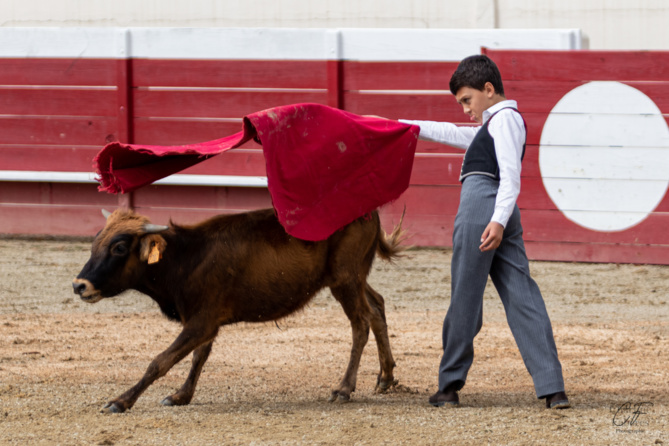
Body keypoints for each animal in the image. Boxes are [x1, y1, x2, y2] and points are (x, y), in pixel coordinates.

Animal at [73, 207, 402, 412]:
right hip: (353, 279)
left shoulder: (202, 322)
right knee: (377, 307)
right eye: (95, 243)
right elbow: (198, 356)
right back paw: (385, 377)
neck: (185, 258)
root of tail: (369, 210)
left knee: (360, 322)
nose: (79, 285)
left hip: (345, 279)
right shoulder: (204, 320)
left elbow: (162, 360)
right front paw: (181, 395)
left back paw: (344, 388)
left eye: (118, 248)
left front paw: (120, 401)